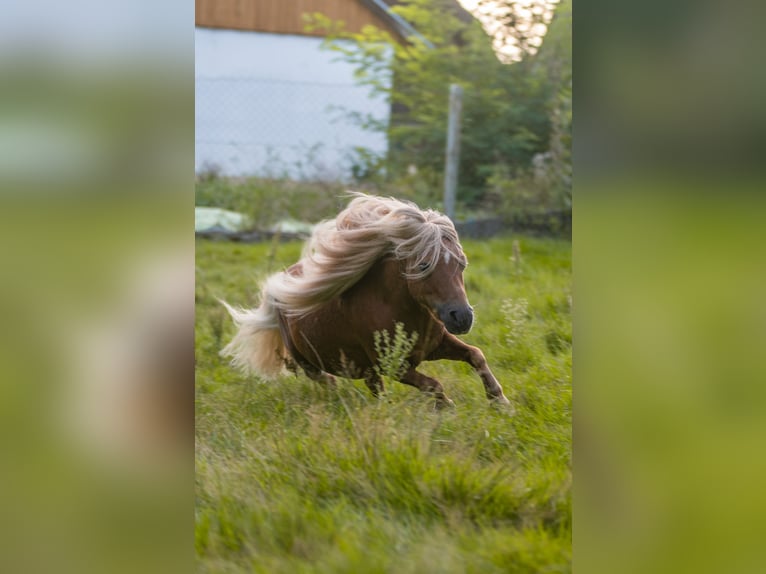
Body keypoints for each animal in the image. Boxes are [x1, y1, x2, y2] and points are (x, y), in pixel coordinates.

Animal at [220, 195, 510, 410]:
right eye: (425, 265)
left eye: (462, 263)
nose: (462, 317)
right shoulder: (395, 367)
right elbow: (434, 385)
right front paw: (447, 408)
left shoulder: (437, 345)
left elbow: (475, 355)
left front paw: (500, 401)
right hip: (309, 361)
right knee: (323, 378)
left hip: (367, 371)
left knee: (374, 392)